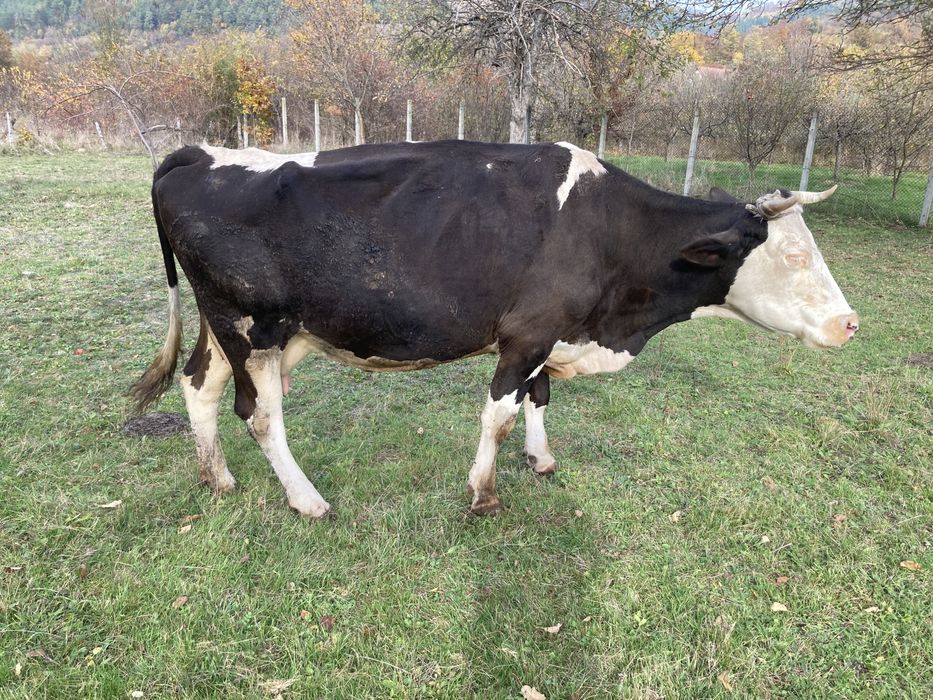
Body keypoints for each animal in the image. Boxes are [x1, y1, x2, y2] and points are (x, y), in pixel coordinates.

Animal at [131, 140, 858, 519]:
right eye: (794, 255)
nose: (849, 324)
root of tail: (199, 153)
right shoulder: (527, 332)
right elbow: (499, 413)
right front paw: (483, 492)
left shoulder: (551, 334)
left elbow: (539, 398)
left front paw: (540, 459)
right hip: (255, 329)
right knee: (259, 414)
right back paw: (307, 499)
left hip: (231, 328)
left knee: (198, 386)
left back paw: (217, 478)